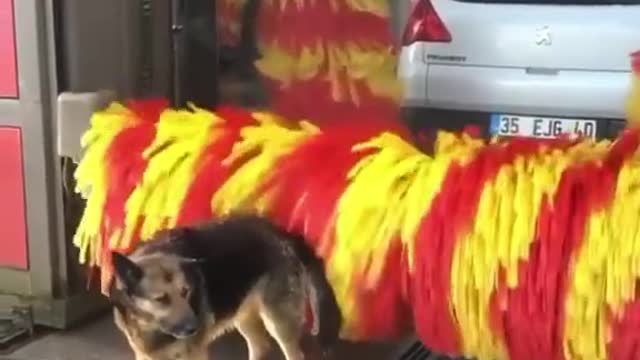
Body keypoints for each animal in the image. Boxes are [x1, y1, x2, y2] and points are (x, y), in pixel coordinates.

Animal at [107, 215, 342, 358]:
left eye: (186, 292)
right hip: (242, 312)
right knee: (260, 346)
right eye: (161, 299)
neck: (149, 325)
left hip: (277, 321)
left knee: (292, 352)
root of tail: (282, 233)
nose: (195, 328)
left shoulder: (193, 354)